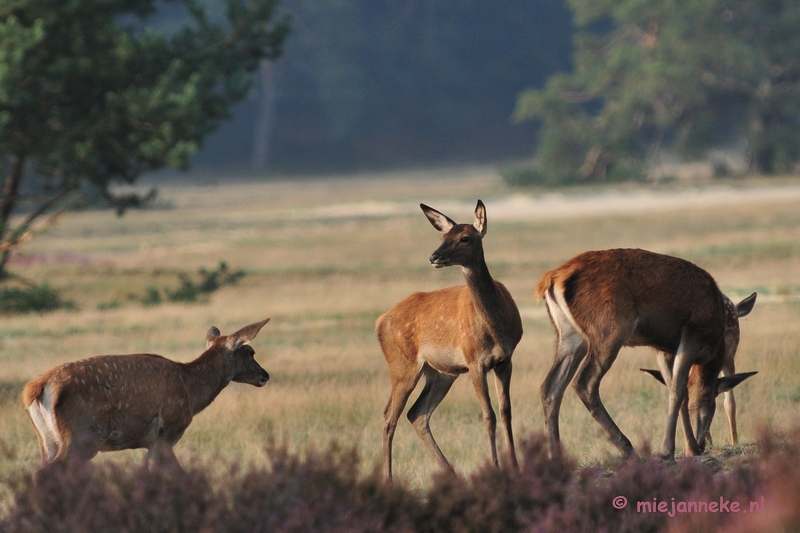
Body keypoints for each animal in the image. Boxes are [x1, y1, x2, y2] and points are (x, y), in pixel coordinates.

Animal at [21, 316, 272, 466]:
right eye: (250, 352)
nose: (265, 375)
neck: (191, 390)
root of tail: (36, 387)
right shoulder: (167, 431)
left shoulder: (150, 442)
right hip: (81, 436)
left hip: (47, 440)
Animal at [376, 198, 524, 478]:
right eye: (443, 236)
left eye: (464, 238)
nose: (433, 256)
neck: (495, 328)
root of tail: (380, 321)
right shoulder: (474, 360)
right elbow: (488, 414)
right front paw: (496, 466)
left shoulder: (505, 360)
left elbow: (506, 410)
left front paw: (515, 464)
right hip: (402, 366)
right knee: (390, 415)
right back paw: (388, 478)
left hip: (441, 373)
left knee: (417, 413)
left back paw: (451, 473)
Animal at [536, 249, 756, 462]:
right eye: (712, 401)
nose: (703, 444)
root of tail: (552, 279)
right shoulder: (692, 334)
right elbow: (677, 390)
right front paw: (670, 450)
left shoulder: (662, 348)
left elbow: (678, 390)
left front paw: (688, 448)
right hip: (610, 329)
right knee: (584, 382)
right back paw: (628, 449)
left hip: (570, 336)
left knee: (551, 386)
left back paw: (556, 457)